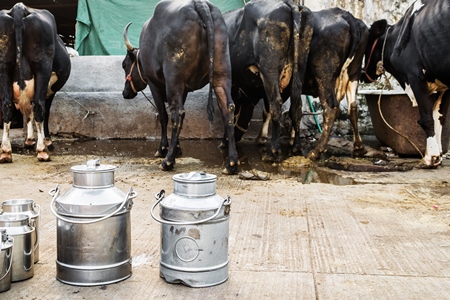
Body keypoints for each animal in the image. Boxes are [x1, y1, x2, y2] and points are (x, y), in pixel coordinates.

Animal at [0, 2, 71, 163]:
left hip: (3, 67)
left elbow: (28, 112)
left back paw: (5, 151)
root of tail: (19, 7)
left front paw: (29, 139)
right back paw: (42, 151)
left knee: (7, 106)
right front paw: (45, 140)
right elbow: (44, 111)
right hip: (42, 68)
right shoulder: (50, 89)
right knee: (39, 107)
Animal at [121, 0, 237, 173]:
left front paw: (164, 149)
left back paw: (168, 161)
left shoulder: (155, 84)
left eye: (124, 65)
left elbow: (163, 115)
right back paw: (232, 163)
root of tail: (200, 5)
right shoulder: (184, 89)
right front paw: (176, 148)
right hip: (222, 75)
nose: (125, 92)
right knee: (227, 109)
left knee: (177, 113)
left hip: (174, 79)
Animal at [223, 0, 314, 162]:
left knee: (276, 104)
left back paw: (273, 151)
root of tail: (289, 4)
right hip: (299, 69)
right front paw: (260, 138)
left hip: (269, 69)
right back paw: (296, 147)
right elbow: (266, 111)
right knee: (296, 106)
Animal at [229, 6, 370, 159]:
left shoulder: (280, 85)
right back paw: (359, 147)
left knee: (331, 108)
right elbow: (296, 109)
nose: (234, 137)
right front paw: (292, 140)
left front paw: (261, 138)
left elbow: (270, 110)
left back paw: (317, 150)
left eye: (237, 107)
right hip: (354, 73)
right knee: (353, 108)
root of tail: (347, 16)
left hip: (324, 75)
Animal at [362, 0, 450, 166]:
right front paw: (439, 154)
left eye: (366, 45)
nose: (362, 74)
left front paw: (431, 157)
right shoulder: (445, 86)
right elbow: (439, 116)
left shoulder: (415, 76)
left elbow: (427, 118)